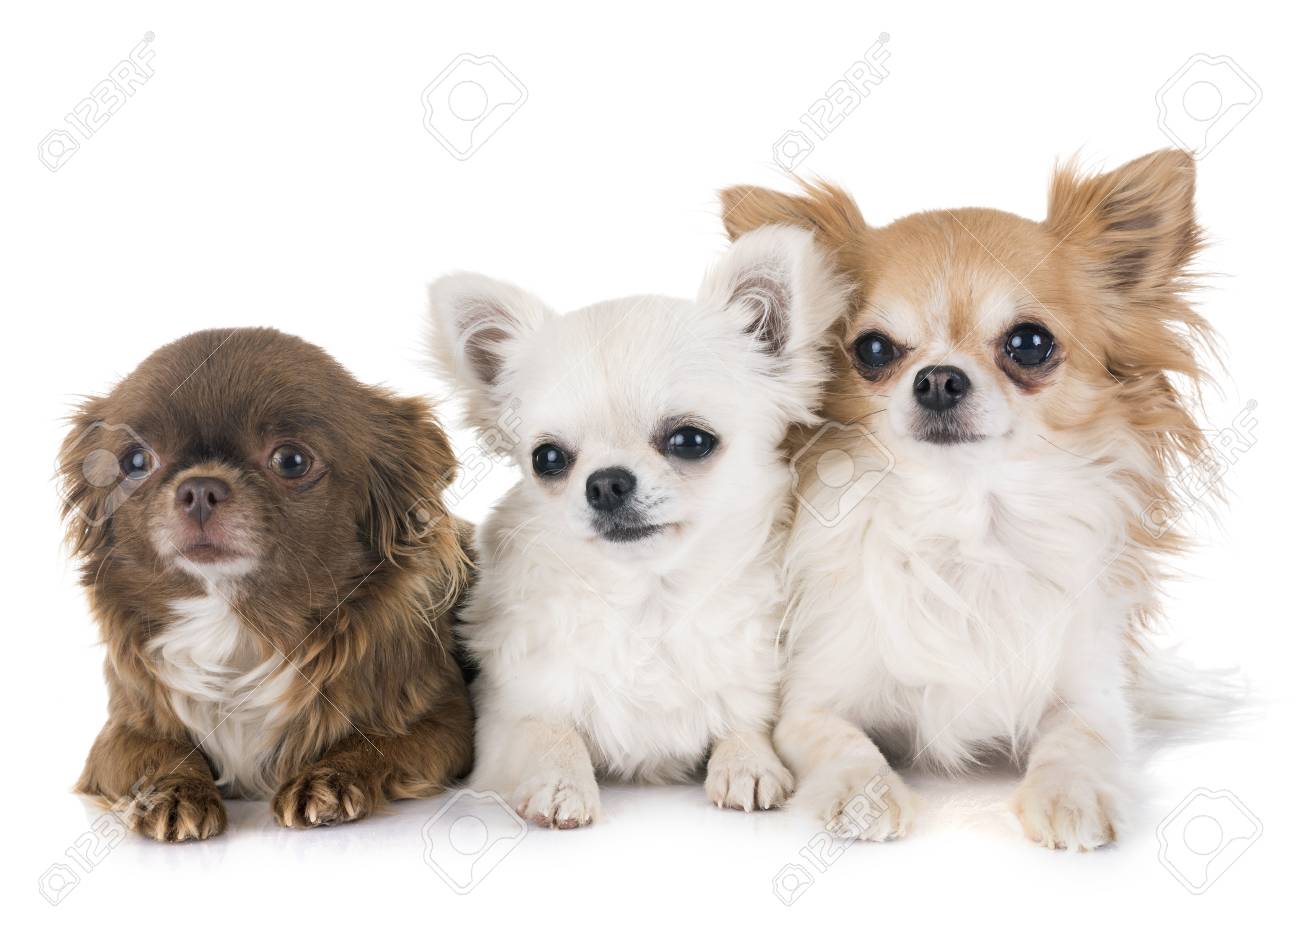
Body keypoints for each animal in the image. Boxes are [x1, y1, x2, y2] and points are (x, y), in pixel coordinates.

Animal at [58, 328, 474, 841]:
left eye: (291, 460)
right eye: (136, 462)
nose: (200, 487)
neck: (238, 626)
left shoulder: (445, 723)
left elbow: (377, 742)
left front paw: (329, 778)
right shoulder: (119, 734)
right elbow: (159, 754)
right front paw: (173, 792)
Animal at [428, 226, 846, 826]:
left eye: (690, 440)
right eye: (547, 459)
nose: (605, 483)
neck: (647, 602)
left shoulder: (750, 689)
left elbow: (743, 726)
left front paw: (749, 763)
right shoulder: (507, 711)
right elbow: (548, 732)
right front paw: (560, 782)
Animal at [721, 149, 1215, 849]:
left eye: (1030, 343)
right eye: (873, 348)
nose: (939, 378)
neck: (965, 519)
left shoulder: (1091, 695)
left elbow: (1079, 740)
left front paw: (1071, 795)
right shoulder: (812, 699)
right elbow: (836, 739)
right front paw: (864, 793)